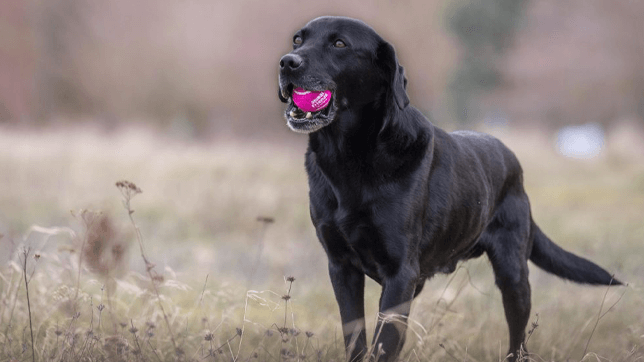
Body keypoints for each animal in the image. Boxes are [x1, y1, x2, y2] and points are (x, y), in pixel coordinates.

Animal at [276, 17, 620, 362]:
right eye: (297, 40)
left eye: (340, 44)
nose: (286, 62)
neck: (349, 158)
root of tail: (511, 160)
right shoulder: (342, 268)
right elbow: (357, 337)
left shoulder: (400, 273)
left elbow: (384, 341)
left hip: (513, 273)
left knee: (518, 335)